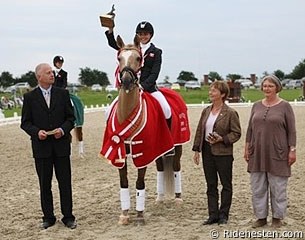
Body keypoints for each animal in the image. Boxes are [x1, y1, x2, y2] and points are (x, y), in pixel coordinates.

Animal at [100, 35, 190, 225]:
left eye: (138, 58)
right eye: (119, 57)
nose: (127, 81)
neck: (128, 115)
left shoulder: (144, 152)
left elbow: (139, 184)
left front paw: (140, 215)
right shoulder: (119, 153)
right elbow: (124, 183)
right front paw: (125, 214)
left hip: (177, 146)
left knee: (176, 167)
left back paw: (178, 198)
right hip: (160, 147)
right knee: (161, 169)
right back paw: (160, 198)